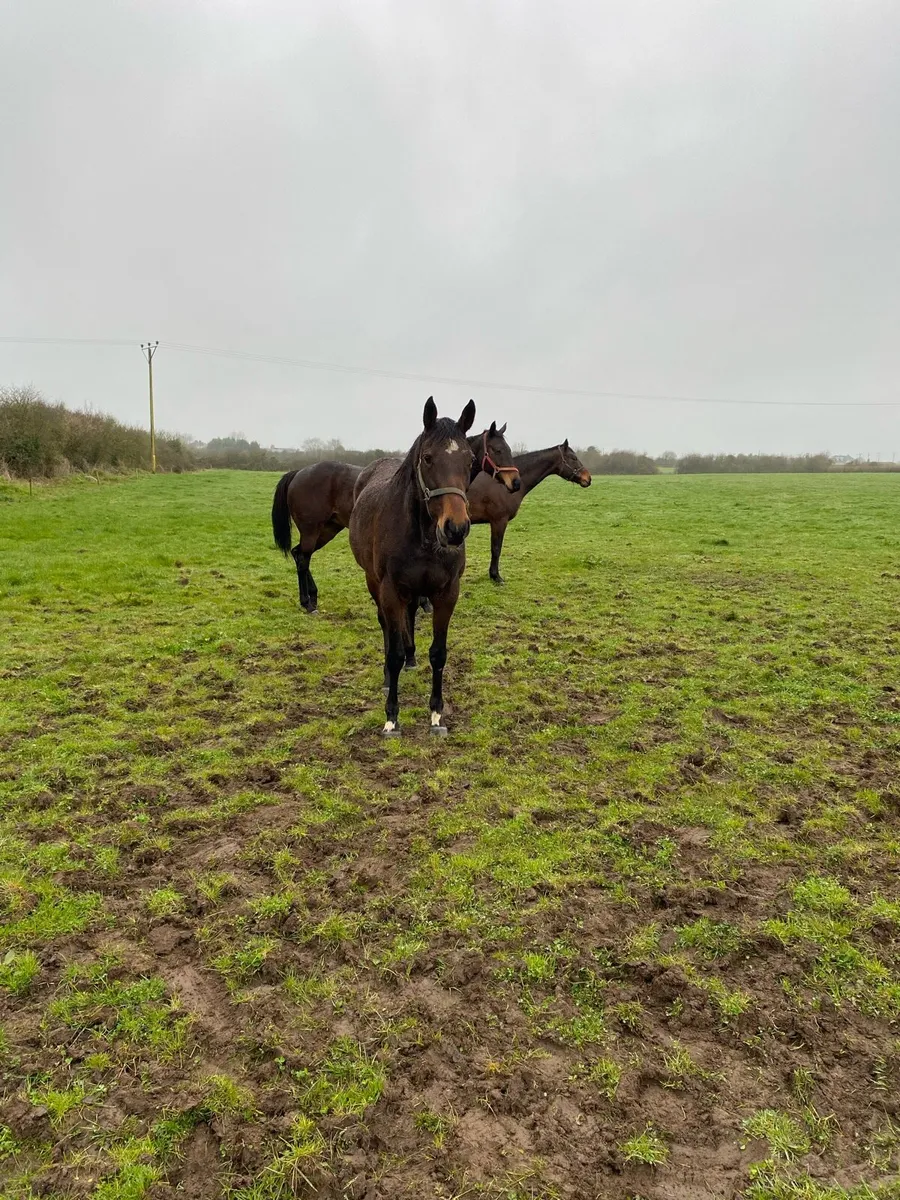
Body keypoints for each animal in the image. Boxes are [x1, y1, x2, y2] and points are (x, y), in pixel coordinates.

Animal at [350, 397, 500, 737]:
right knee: (386, 628)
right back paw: (390, 676)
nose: (455, 528)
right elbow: (392, 651)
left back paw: (412, 659)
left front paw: (436, 715)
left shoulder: (446, 594)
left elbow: (438, 653)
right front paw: (392, 718)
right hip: (374, 583)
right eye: (428, 458)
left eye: (470, 460)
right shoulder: (391, 591)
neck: (423, 538)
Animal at [466, 440, 592, 583]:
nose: (588, 478)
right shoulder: (499, 521)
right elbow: (496, 549)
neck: (504, 484)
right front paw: (496, 576)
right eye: (573, 458)